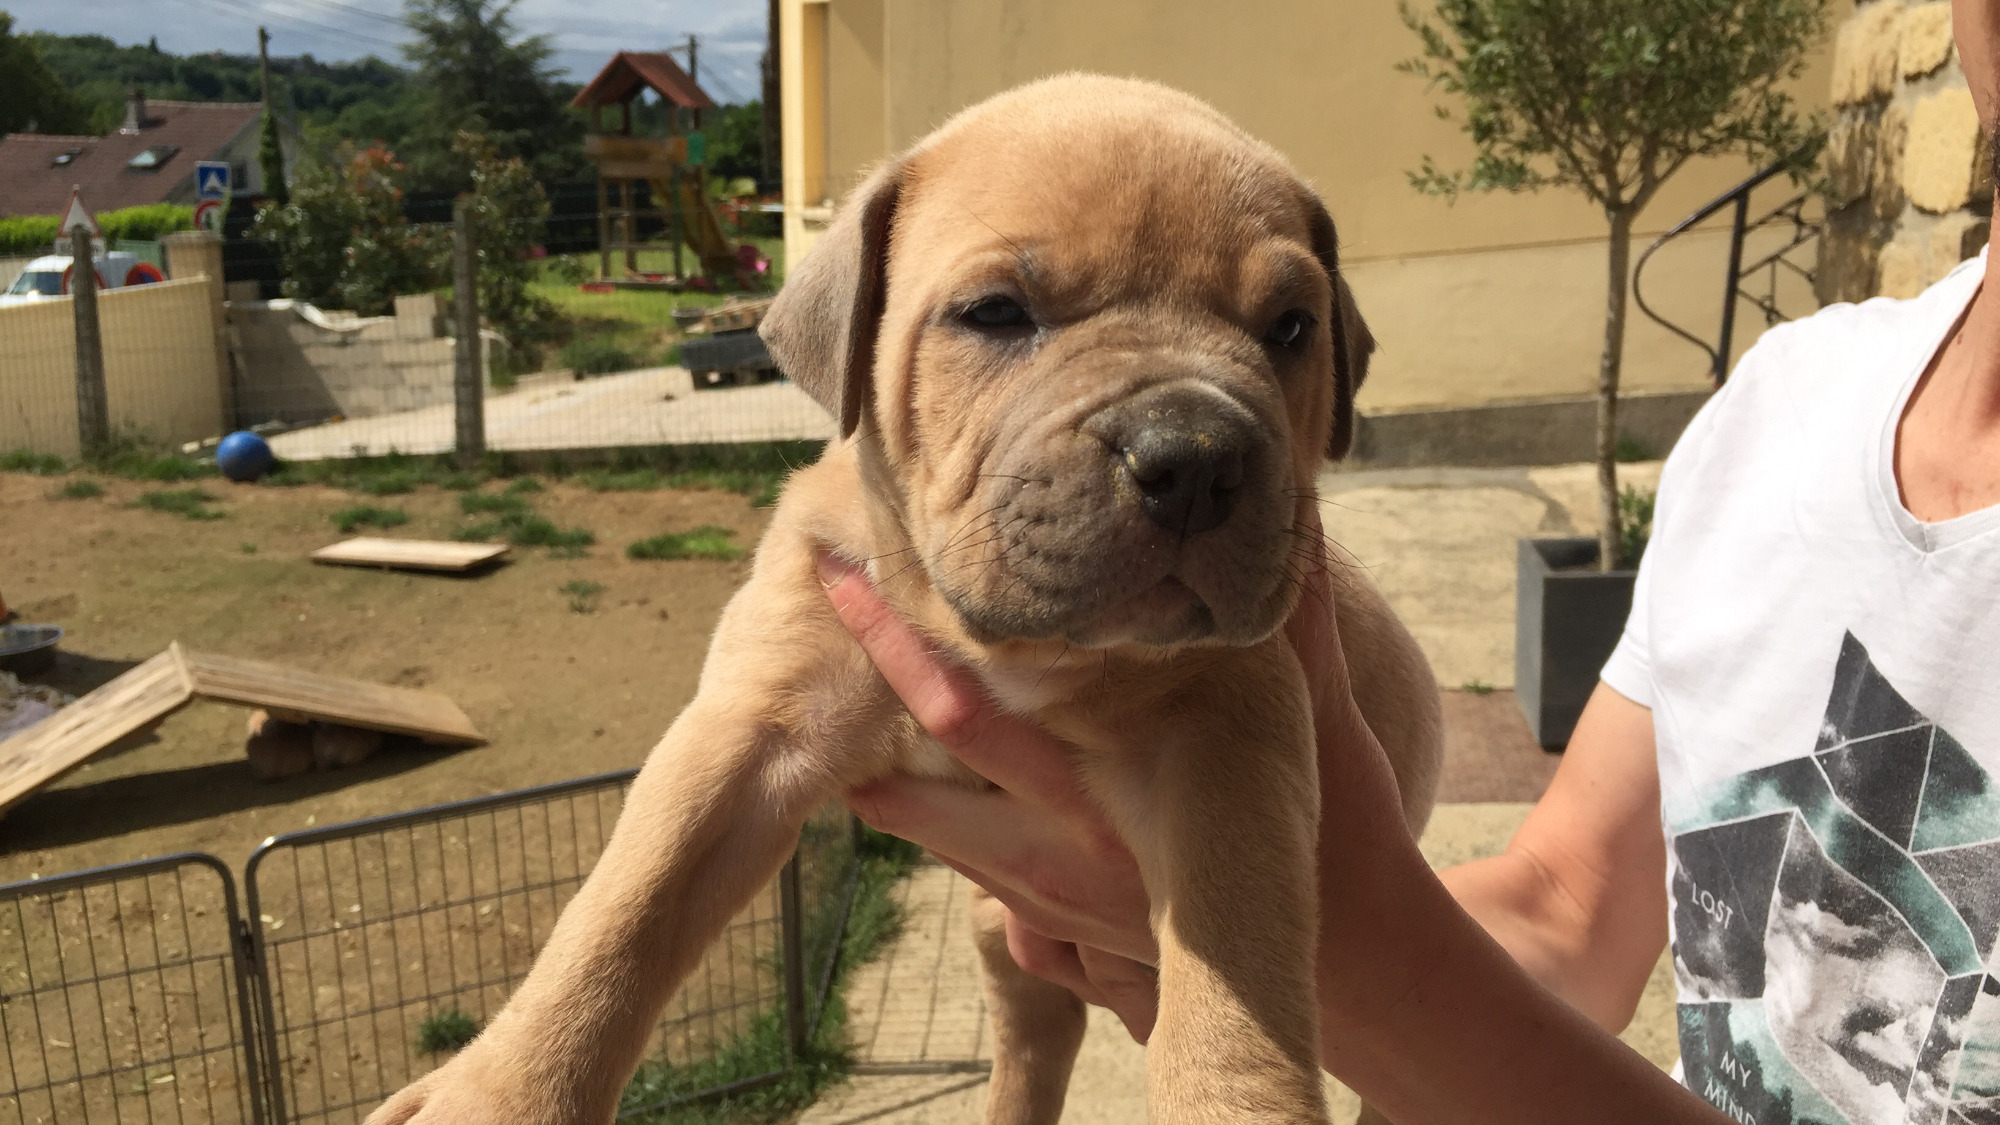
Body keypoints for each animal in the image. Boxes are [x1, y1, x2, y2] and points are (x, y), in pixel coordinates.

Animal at [368, 74, 1440, 1112]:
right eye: (996, 312)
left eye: (1293, 328)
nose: (1195, 458)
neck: (999, 642)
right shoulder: (751, 724)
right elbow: (624, 909)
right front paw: (503, 1093)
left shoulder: (1227, 739)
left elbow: (1231, 982)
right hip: (1000, 937)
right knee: (1035, 1036)